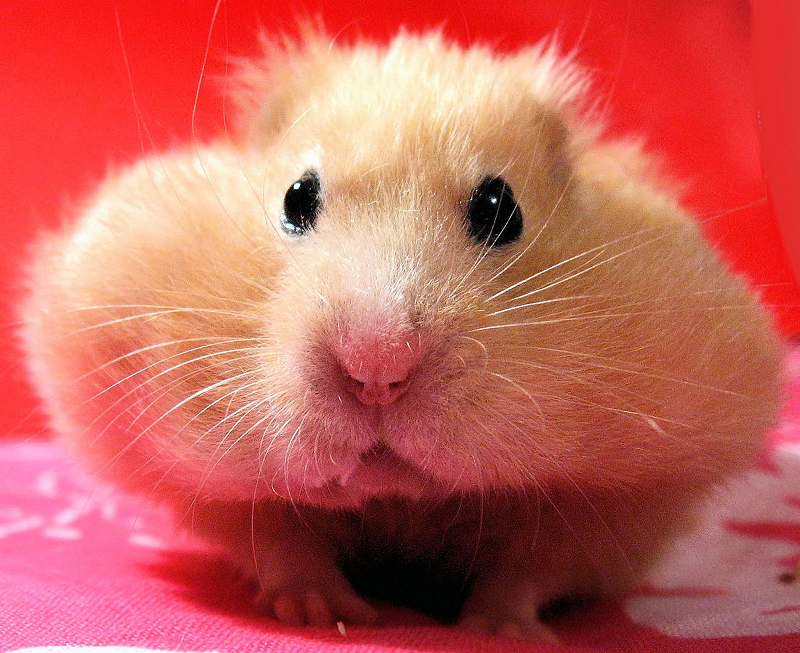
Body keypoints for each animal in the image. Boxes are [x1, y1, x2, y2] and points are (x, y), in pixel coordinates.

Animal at [20, 32, 782, 640]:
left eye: (501, 208)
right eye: (297, 197)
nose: (377, 369)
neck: (402, 502)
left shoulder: (620, 496)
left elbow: (530, 568)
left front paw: (497, 631)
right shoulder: (217, 490)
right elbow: (278, 539)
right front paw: (330, 614)